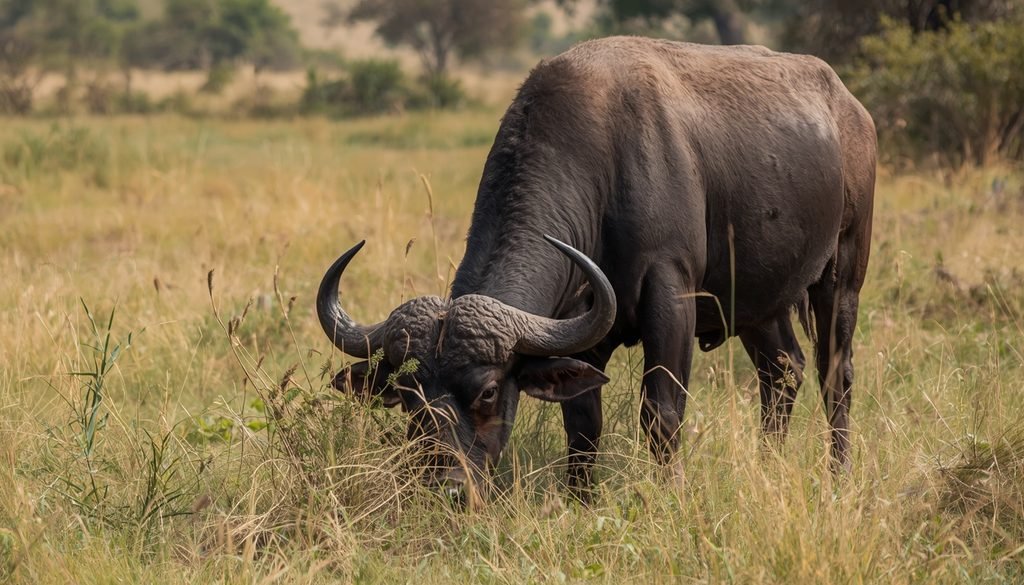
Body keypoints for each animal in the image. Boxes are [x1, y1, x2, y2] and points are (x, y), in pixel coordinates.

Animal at [317, 37, 876, 500]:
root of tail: (851, 108)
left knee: (835, 374)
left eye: (490, 390)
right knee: (782, 371)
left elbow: (662, 412)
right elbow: (583, 422)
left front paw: (670, 496)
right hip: (756, 303)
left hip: (843, 275)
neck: (605, 168)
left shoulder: (671, 294)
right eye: (407, 394)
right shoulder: (578, 322)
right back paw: (767, 465)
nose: (445, 487)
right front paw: (581, 498)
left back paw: (838, 476)